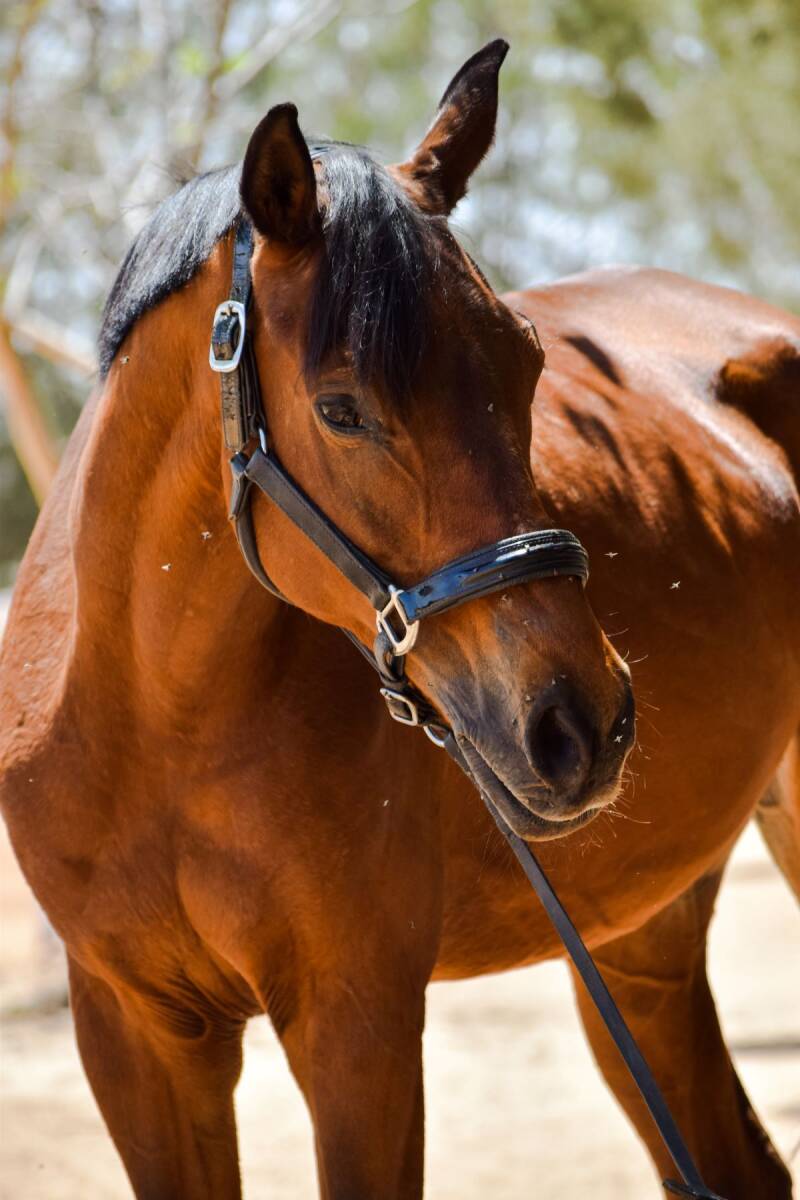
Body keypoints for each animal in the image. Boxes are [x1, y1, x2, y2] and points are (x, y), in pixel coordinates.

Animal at [1, 38, 798, 1199]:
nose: (581, 726)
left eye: (527, 365)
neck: (152, 718)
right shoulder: (135, 1033)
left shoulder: (358, 1024)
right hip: (637, 932)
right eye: (340, 409)